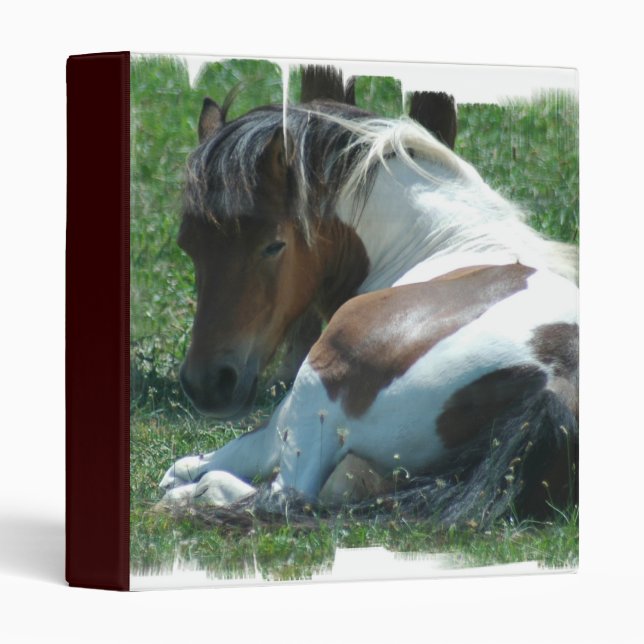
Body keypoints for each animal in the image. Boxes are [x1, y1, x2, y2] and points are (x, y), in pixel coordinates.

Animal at [159, 96, 578, 528]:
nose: (208, 385)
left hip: (313, 385)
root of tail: (553, 382)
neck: (451, 238)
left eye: (274, 245)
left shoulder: (278, 426)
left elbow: (189, 465)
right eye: (187, 243)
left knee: (283, 496)